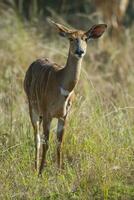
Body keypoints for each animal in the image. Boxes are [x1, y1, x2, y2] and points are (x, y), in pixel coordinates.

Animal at [23, 19, 107, 175]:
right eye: (71, 38)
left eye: (86, 38)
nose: (80, 51)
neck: (62, 86)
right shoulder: (47, 113)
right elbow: (46, 143)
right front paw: (41, 173)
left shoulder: (64, 115)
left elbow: (59, 143)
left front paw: (60, 173)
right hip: (33, 108)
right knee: (37, 138)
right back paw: (35, 168)